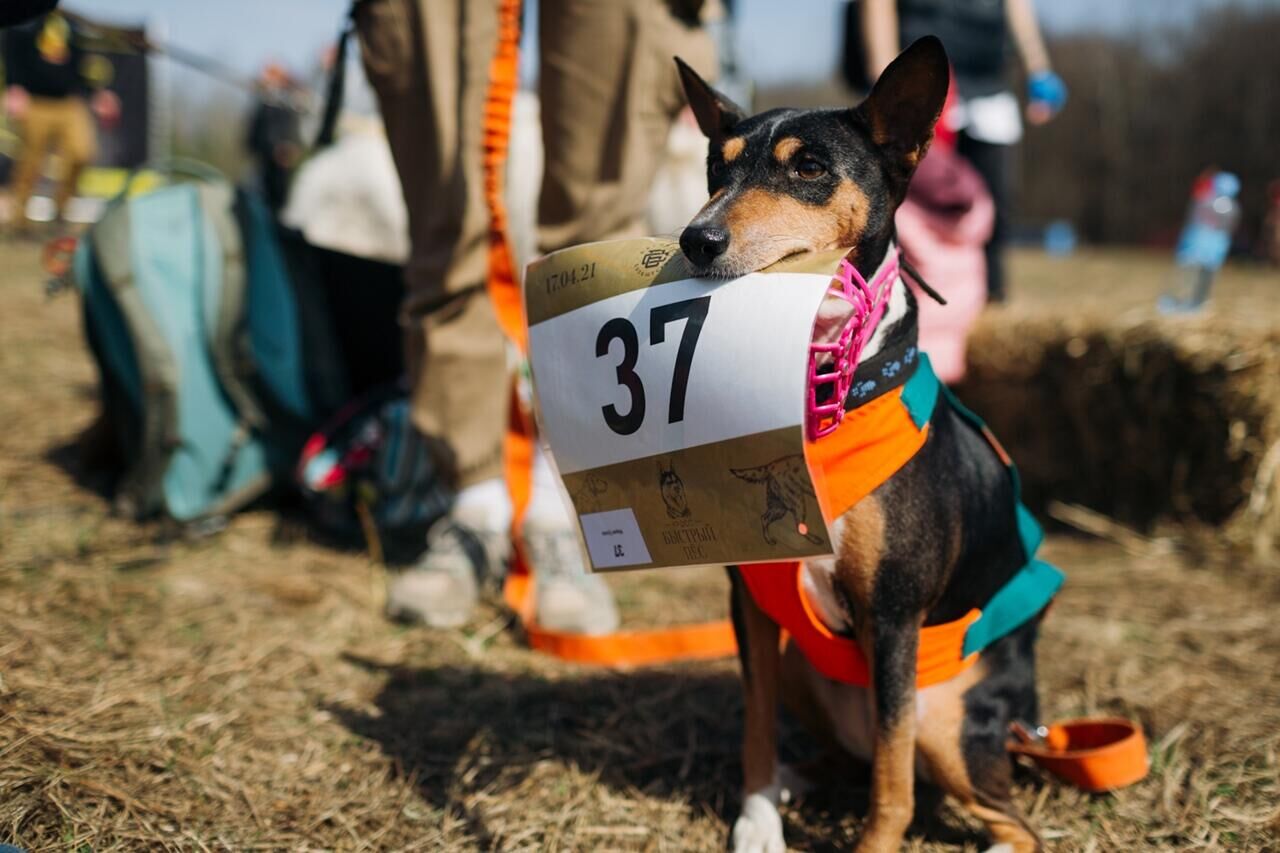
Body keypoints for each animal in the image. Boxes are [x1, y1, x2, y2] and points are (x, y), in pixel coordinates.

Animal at [675, 39, 1044, 850]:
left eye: (810, 166)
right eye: (715, 169)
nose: (696, 238)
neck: (812, 393)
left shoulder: (893, 617)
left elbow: (891, 784)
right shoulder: (752, 604)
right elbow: (755, 728)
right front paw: (757, 818)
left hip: (941, 713)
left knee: (997, 813)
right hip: (809, 667)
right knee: (847, 758)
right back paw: (795, 782)